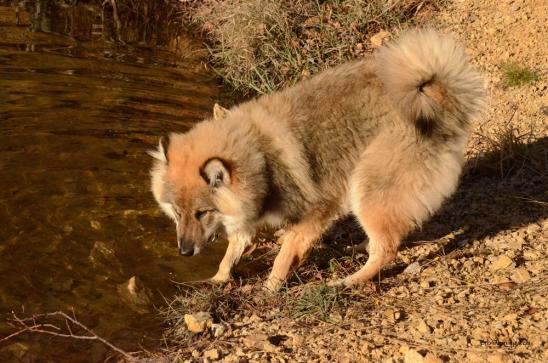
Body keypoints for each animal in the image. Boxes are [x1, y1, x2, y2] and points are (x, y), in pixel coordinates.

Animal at [148, 28, 486, 292]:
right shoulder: (249, 214)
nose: (184, 252)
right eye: (177, 212)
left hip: (366, 186)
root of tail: (438, 98)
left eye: (203, 212)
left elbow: (284, 255)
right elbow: (232, 250)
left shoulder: (314, 212)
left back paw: (348, 281)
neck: (258, 155)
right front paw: (218, 278)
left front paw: (270, 288)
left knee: (387, 249)